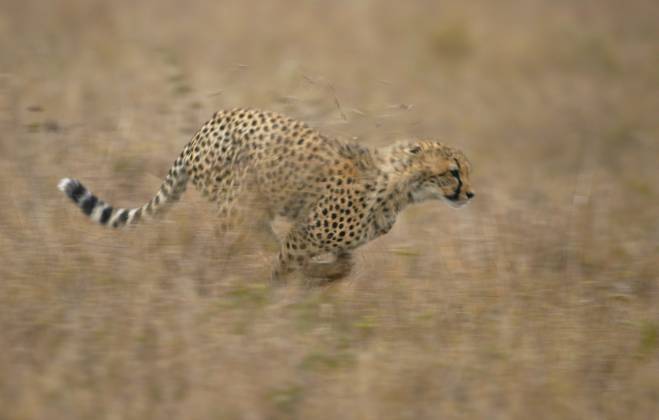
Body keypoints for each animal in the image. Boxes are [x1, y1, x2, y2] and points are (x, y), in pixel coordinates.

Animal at [58, 108, 474, 281]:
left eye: (465, 171)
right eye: (453, 171)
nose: (470, 193)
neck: (401, 187)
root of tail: (207, 124)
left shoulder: (327, 239)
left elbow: (345, 264)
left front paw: (322, 276)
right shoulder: (305, 232)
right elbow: (287, 263)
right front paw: (285, 286)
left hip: (250, 210)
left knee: (257, 238)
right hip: (236, 205)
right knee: (219, 250)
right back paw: (213, 280)